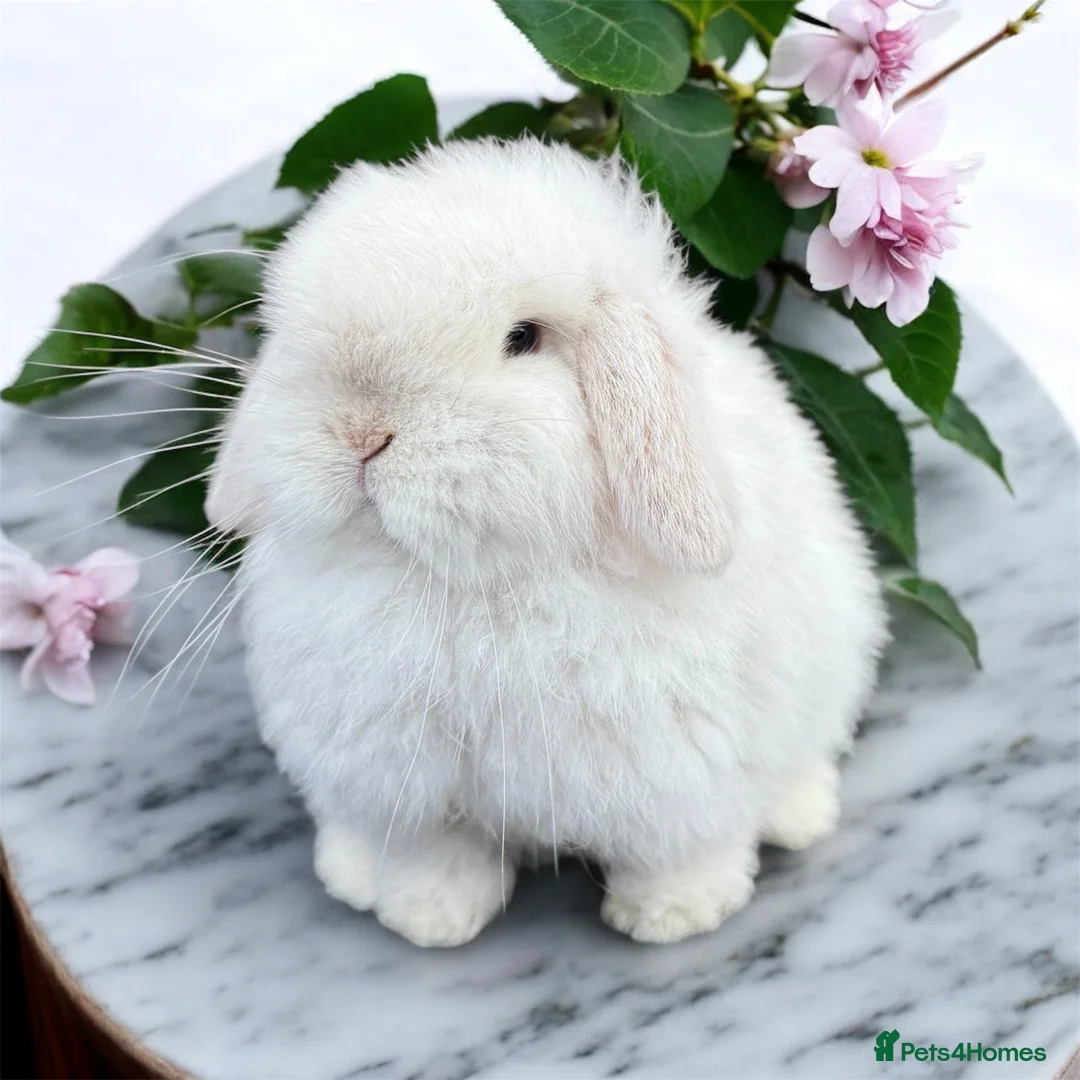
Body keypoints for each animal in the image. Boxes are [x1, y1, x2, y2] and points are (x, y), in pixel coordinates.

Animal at [205, 138, 889, 947]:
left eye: (523, 338)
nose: (362, 433)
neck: (468, 584)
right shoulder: (412, 787)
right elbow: (437, 855)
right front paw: (429, 919)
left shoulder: (683, 772)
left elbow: (683, 847)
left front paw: (671, 917)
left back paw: (798, 816)